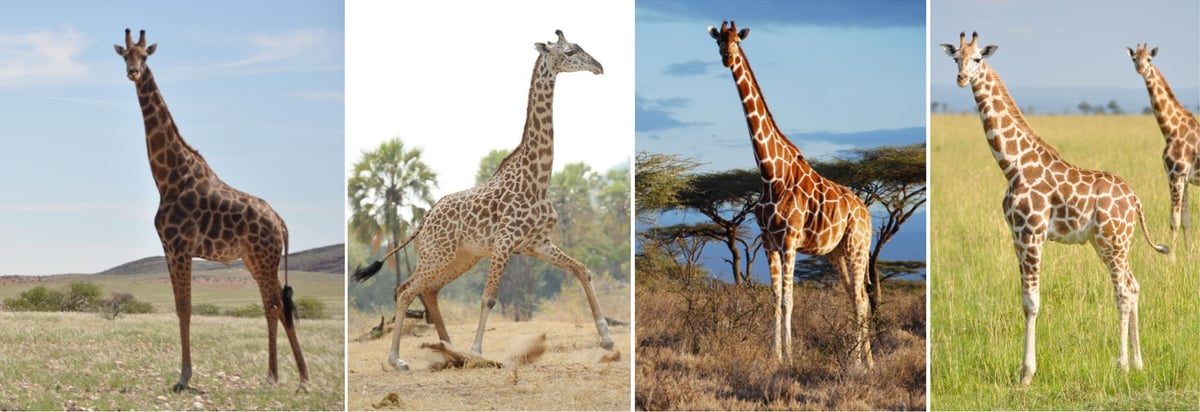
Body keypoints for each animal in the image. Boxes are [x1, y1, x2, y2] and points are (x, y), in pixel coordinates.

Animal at [114, 29, 308, 392]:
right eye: (125, 56)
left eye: (145, 55)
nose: (133, 72)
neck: (167, 177)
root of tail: (281, 223)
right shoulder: (170, 248)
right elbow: (180, 308)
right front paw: (184, 374)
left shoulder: (179, 247)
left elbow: (185, 308)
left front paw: (183, 377)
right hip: (257, 260)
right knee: (275, 305)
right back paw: (282, 376)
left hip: (264, 259)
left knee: (276, 305)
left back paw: (293, 378)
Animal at [352, 30, 614, 371]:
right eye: (570, 52)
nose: (598, 66)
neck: (539, 180)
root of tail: (423, 220)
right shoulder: (505, 243)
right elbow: (489, 297)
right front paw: (477, 351)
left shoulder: (537, 243)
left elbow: (583, 270)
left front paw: (607, 339)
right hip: (438, 255)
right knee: (406, 289)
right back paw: (399, 359)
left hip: (461, 257)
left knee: (427, 291)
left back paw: (449, 350)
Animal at [708, 21, 874, 367]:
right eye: (718, 41)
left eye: (736, 41)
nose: (727, 57)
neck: (770, 173)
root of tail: (868, 215)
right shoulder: (769, 241)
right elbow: (775, 299)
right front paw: (776, 356)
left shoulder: (790, 239)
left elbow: (790, 299)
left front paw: (791, 358)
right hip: (838, 253)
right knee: (858, 298)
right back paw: (866, 363)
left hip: (857, 247)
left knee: (861, 299)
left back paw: (859, 363)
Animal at [940, 32, 1169, 385]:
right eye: (956, 59)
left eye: (978, 58)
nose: (962, 78)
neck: (1013, 165)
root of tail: (1135, 200)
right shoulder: (1017, 236)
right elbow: (1024, 299)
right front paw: (1025, 370)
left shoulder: (1032, 234)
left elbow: (1032, 302)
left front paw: (1026, 374)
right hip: (1108, 243)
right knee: (1133, 285)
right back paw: (1138, 363)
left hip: (1113, 241)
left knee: (1122, 290)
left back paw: (1121, 364)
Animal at [1127, 43, 1200, 250]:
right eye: (1134, 58)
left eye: (1149, 59)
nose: (1140, 68)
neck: (1171, 130)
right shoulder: (1183, 178)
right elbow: (1186, 219)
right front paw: (1189, 253)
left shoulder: (1175, 175)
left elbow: (1174, 220)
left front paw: (1171, 256)